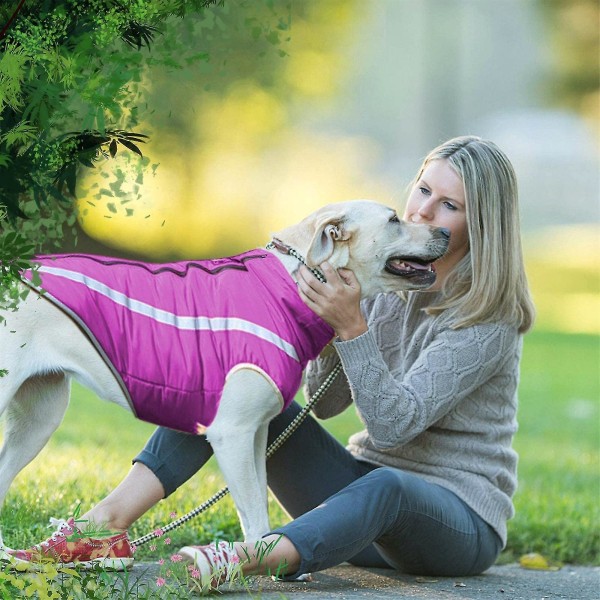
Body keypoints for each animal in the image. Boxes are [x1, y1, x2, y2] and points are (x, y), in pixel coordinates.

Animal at [0, 200, 448, 552]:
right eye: (394, 219)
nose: (445, 230)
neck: (291, 284)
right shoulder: (231, 433)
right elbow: (254, 515)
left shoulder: (258, 433)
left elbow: (258, 512)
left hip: (40, 419)